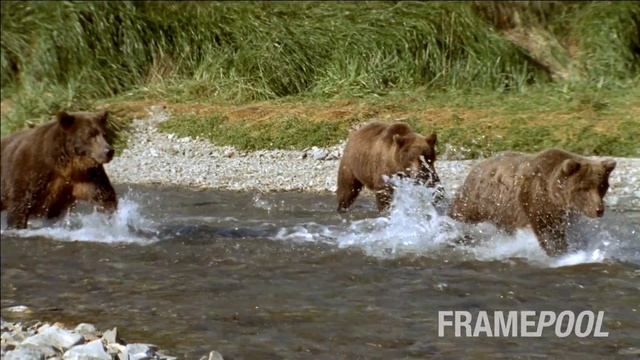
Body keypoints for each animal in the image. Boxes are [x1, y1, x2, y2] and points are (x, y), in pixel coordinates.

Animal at [448, 149, 616, 256]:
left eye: (602, 186)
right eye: (584, 188)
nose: (598, 210)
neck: (553, 197)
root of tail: (475, 167)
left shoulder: (562, 215)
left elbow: (562, 232)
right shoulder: (533, 203)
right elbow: (544, 233)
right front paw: (556, 252)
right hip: (479, 200)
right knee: (461, 213)